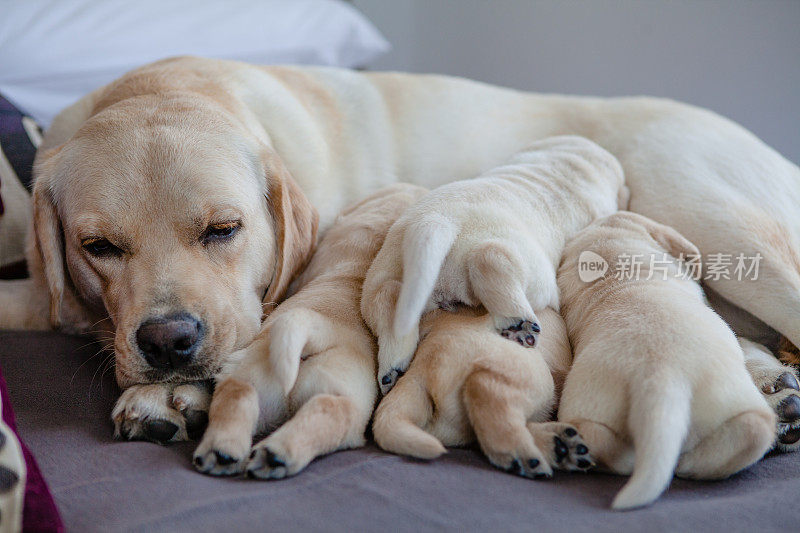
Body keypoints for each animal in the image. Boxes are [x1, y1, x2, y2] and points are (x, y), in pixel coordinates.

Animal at [191, 184, 428, 478]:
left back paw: (223, 452)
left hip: (248, 376)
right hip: (342, 395)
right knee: (332, 411)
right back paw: (275, 455)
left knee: (238, 395)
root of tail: (311, 333)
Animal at [362, 136, 624, 394]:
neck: (568, 161)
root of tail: (436, 221)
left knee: (387, 297)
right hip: (533, 271)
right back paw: (519, 323)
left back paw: (392, 369)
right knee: (490, 260)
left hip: (389, 269)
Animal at [372, 304, 592, 478]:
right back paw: (522, 455)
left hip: (450, 426)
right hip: (530, 369)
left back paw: (559, 445)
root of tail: (419, 371)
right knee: (485, 389)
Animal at [556, 210, 776, 510]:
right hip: (735, 400)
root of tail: (659, 377)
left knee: (595, 436)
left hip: (590, 404)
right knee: (754, 430)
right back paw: (689, 466)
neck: (614, 263)